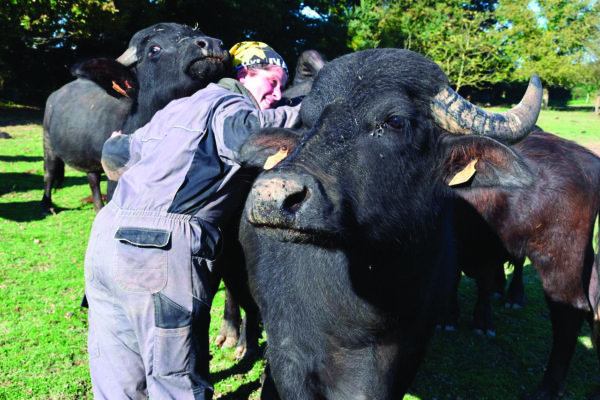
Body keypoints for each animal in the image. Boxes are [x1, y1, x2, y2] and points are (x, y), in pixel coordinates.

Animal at [41, 21, 230, 216]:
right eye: (154, 49)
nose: (212, 43)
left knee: (92, 177)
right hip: (47, 142)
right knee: (50, 171)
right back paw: (47, 206)